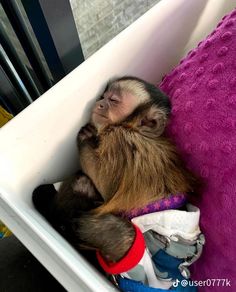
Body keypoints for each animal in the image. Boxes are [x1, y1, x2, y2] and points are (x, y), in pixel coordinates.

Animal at [32, 76, 199, 264]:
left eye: (113, 100)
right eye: (102, 97)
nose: (99, 103)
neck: (131, 127)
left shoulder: (118, 138)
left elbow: (106, 186)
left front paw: (87, 137)